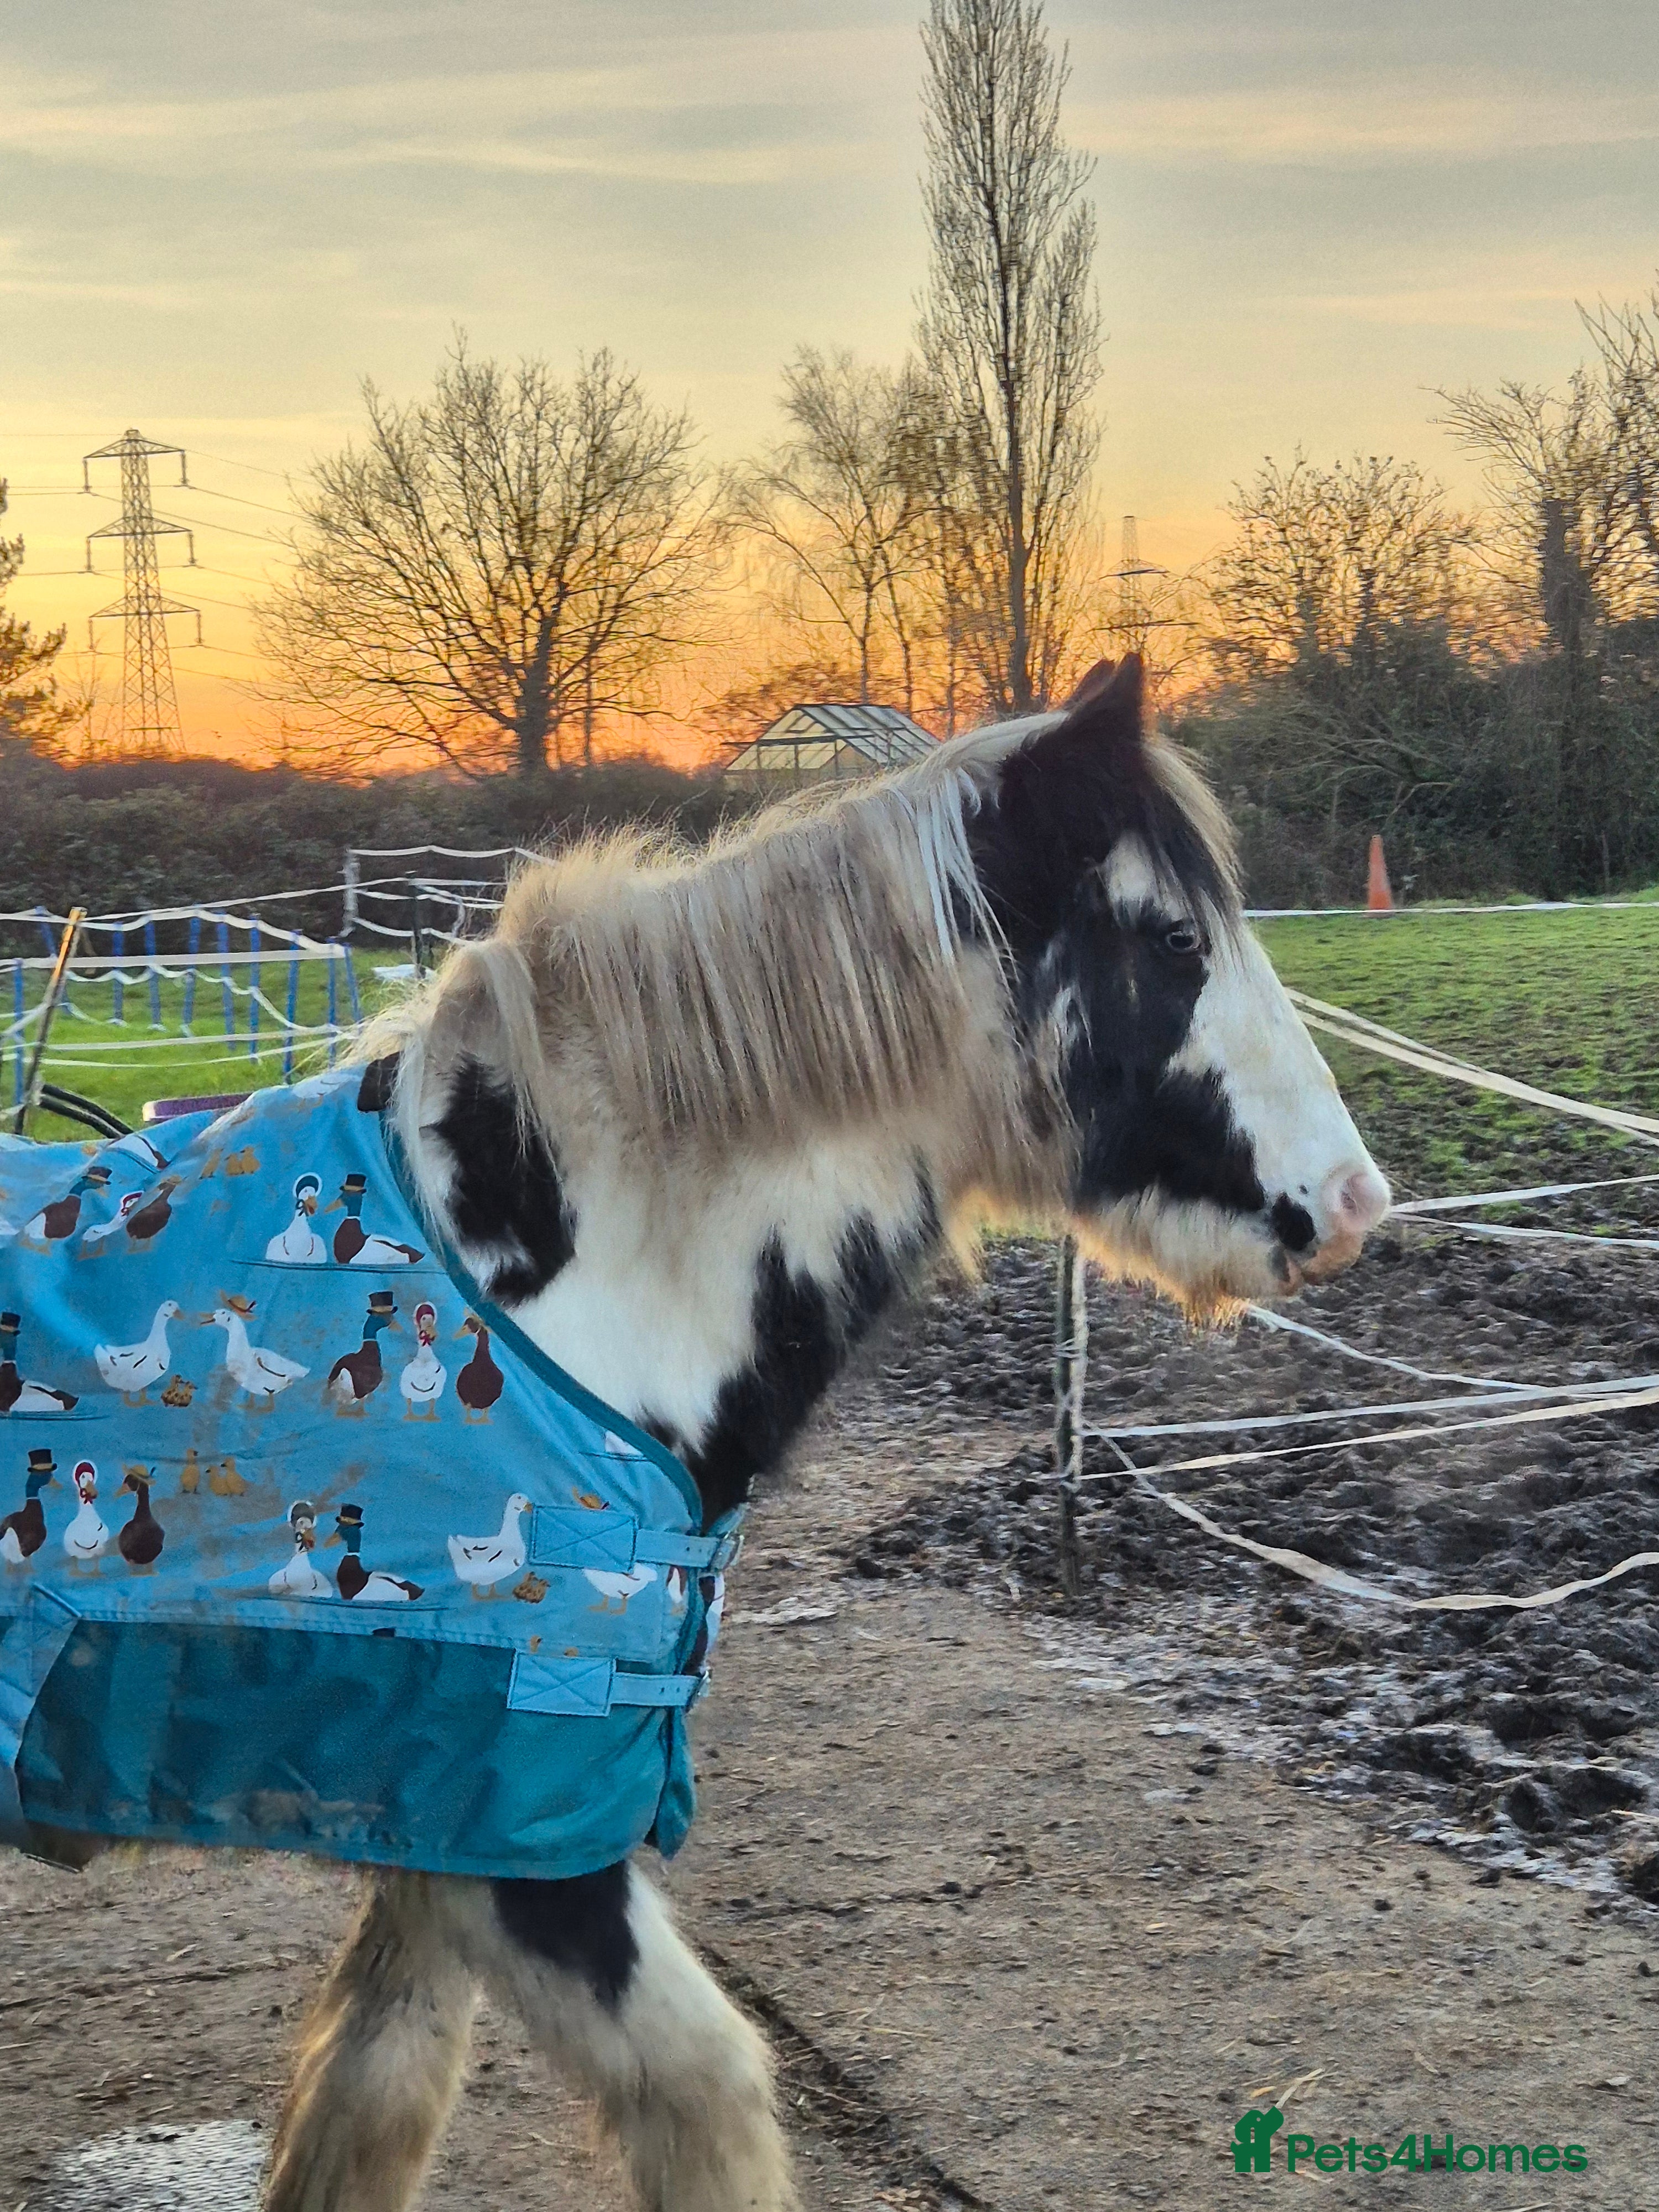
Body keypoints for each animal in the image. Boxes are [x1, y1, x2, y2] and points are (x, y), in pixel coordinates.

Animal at [35, 655, 1392, 2211]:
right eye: (1173, 939)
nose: (1354, 1201)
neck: (557, 1301)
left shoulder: (447, 1810)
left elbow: (371, 2094)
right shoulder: (528, 1843)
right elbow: (708, 2090)